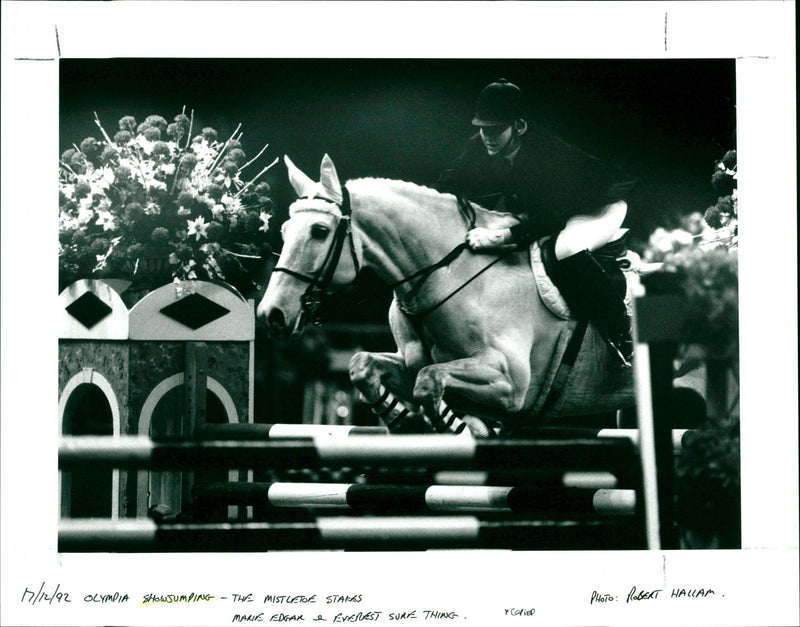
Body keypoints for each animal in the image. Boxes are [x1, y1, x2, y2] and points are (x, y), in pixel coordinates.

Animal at [260, 156, 636, 436]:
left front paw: (464, 428)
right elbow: (363, 366)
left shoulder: (510, 383)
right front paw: (407, 422)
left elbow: (429, 382)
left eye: (319, 231)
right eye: (284, 230)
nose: (270, 314)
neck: (445, 273)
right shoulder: (410, 362)